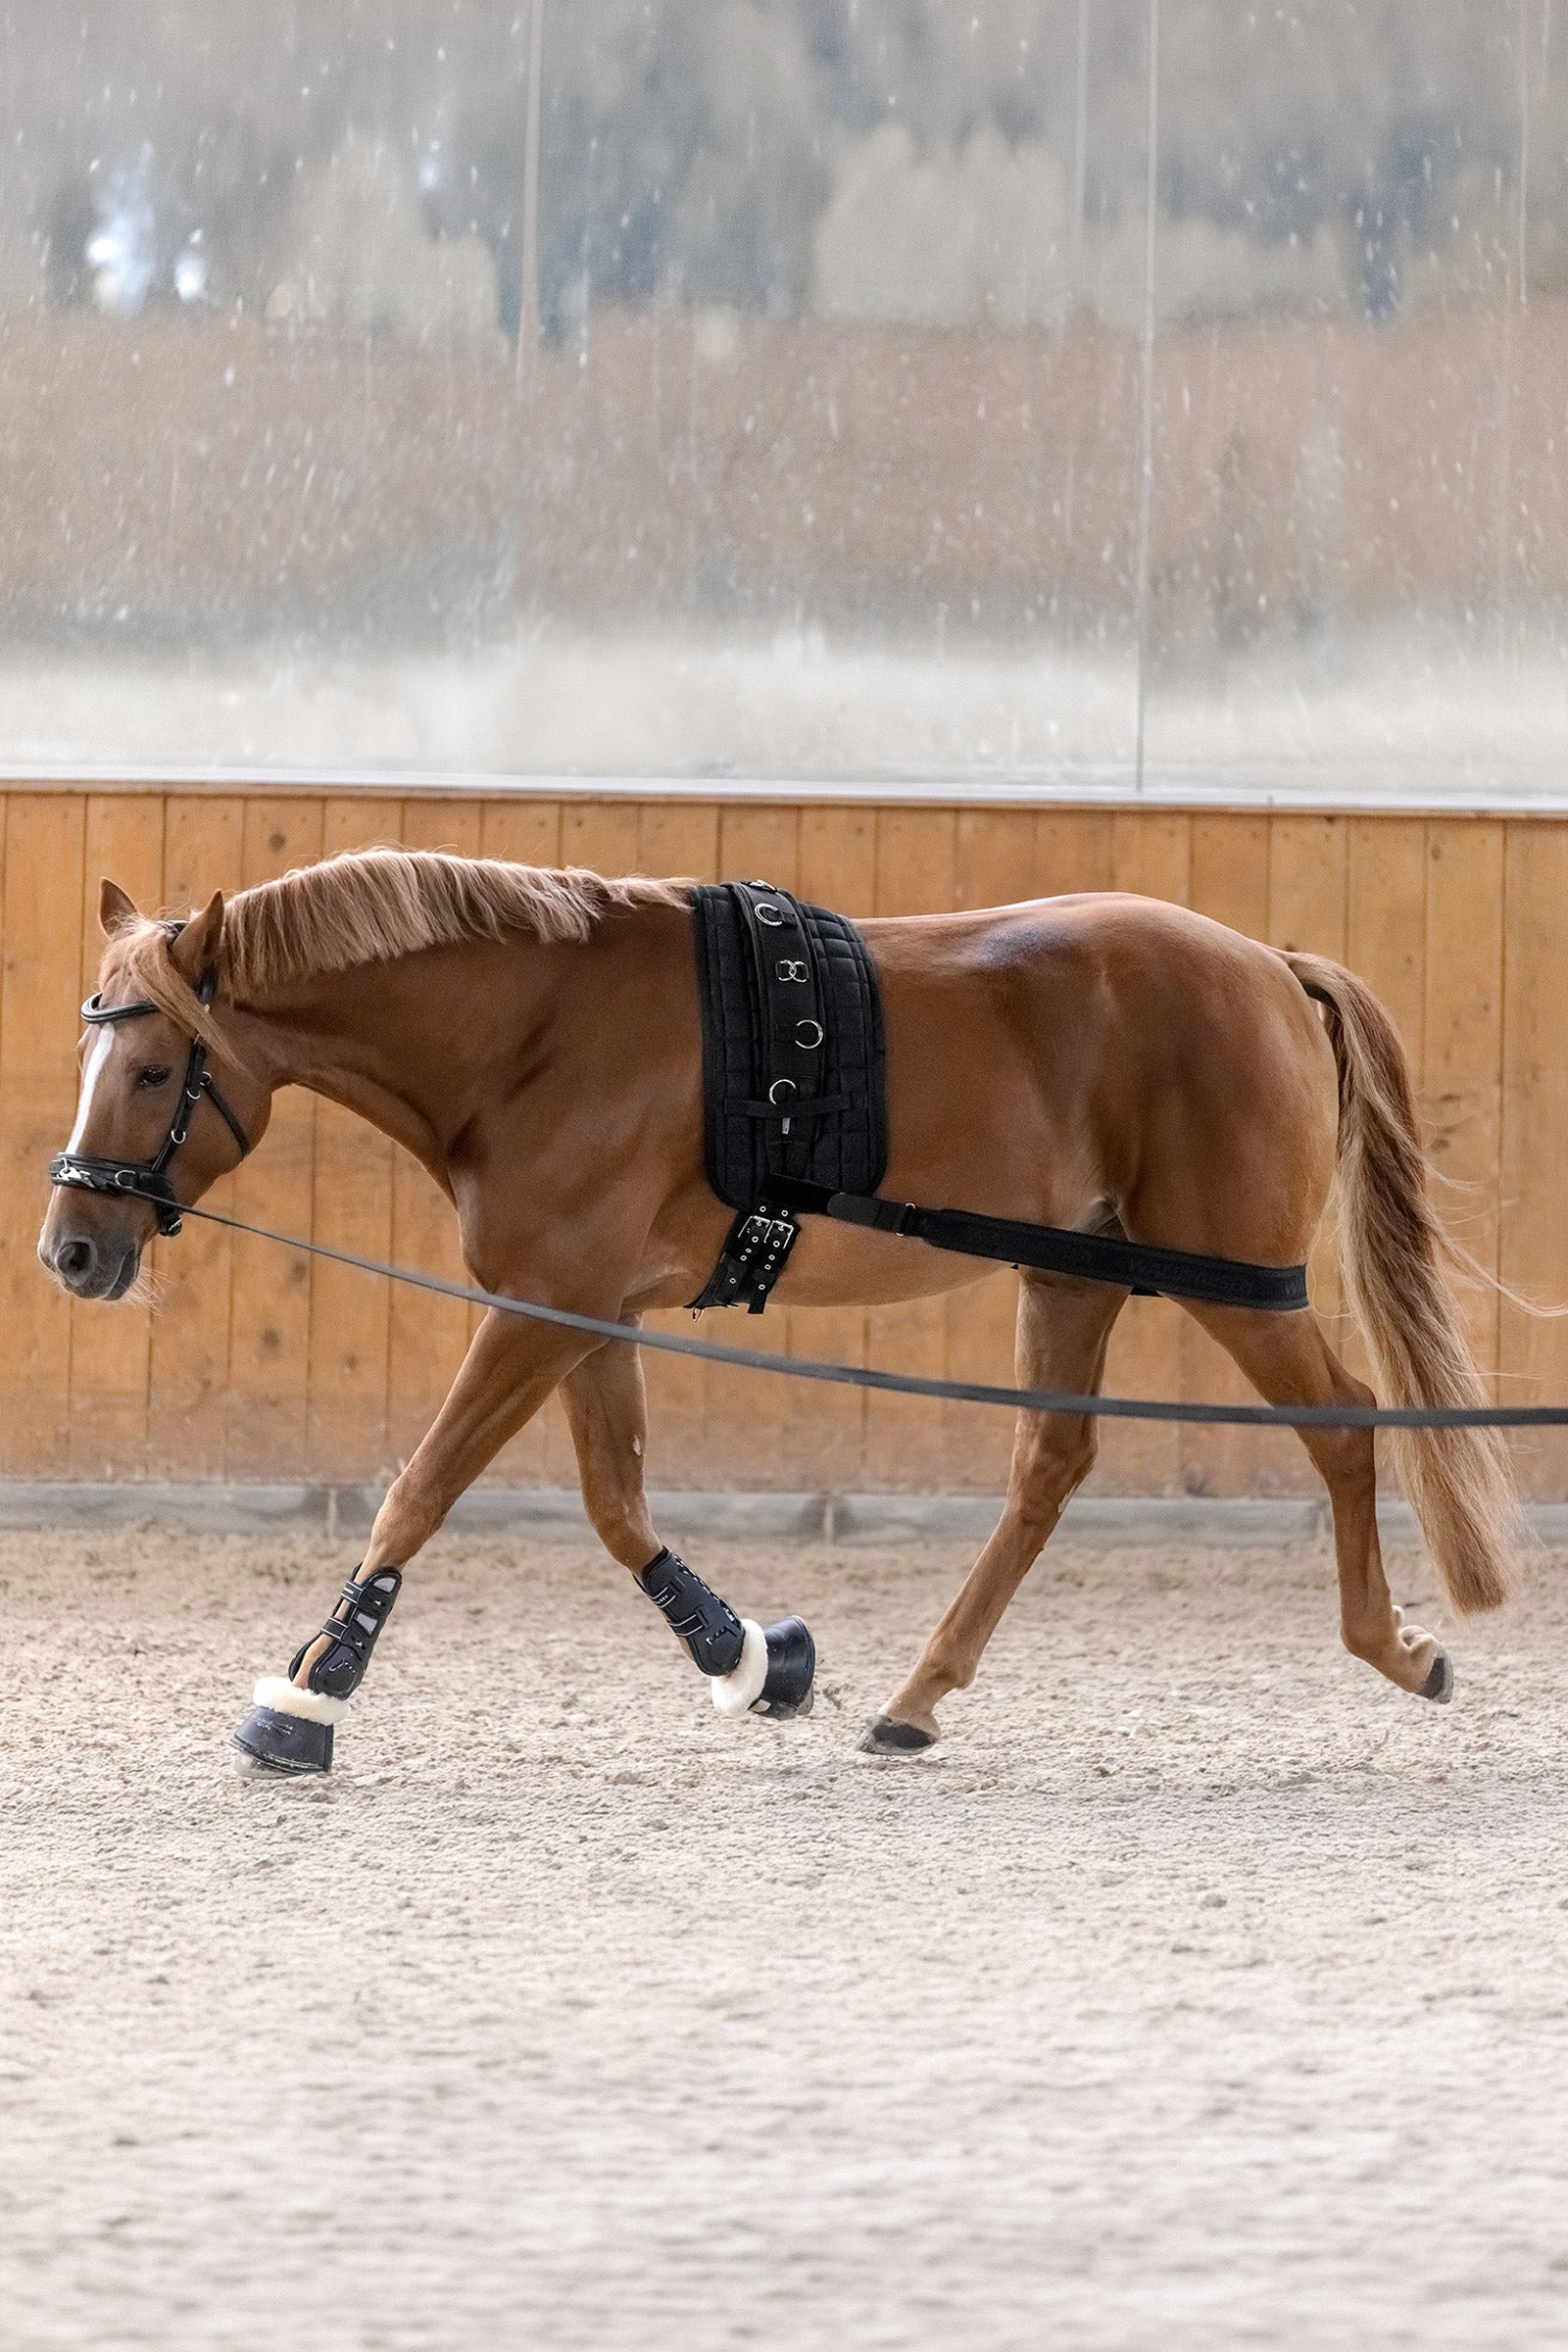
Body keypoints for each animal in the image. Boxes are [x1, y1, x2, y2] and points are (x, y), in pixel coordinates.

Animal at [39, 848, 1524, 1772]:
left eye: (158, 1065)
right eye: (91, 1051)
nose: (71, 1250)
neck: (537, 1033)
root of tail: (1269, 967)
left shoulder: (543, 1306)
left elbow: (424, 1487)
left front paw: (310, 1690)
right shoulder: (583, 1310)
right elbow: (617, 1504)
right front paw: (753, 1657)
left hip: (1236, 1284)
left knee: (1343, 1429)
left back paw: (1395, 1651)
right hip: (1073, 1273)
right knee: (1049, 1469)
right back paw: (916, 1702)